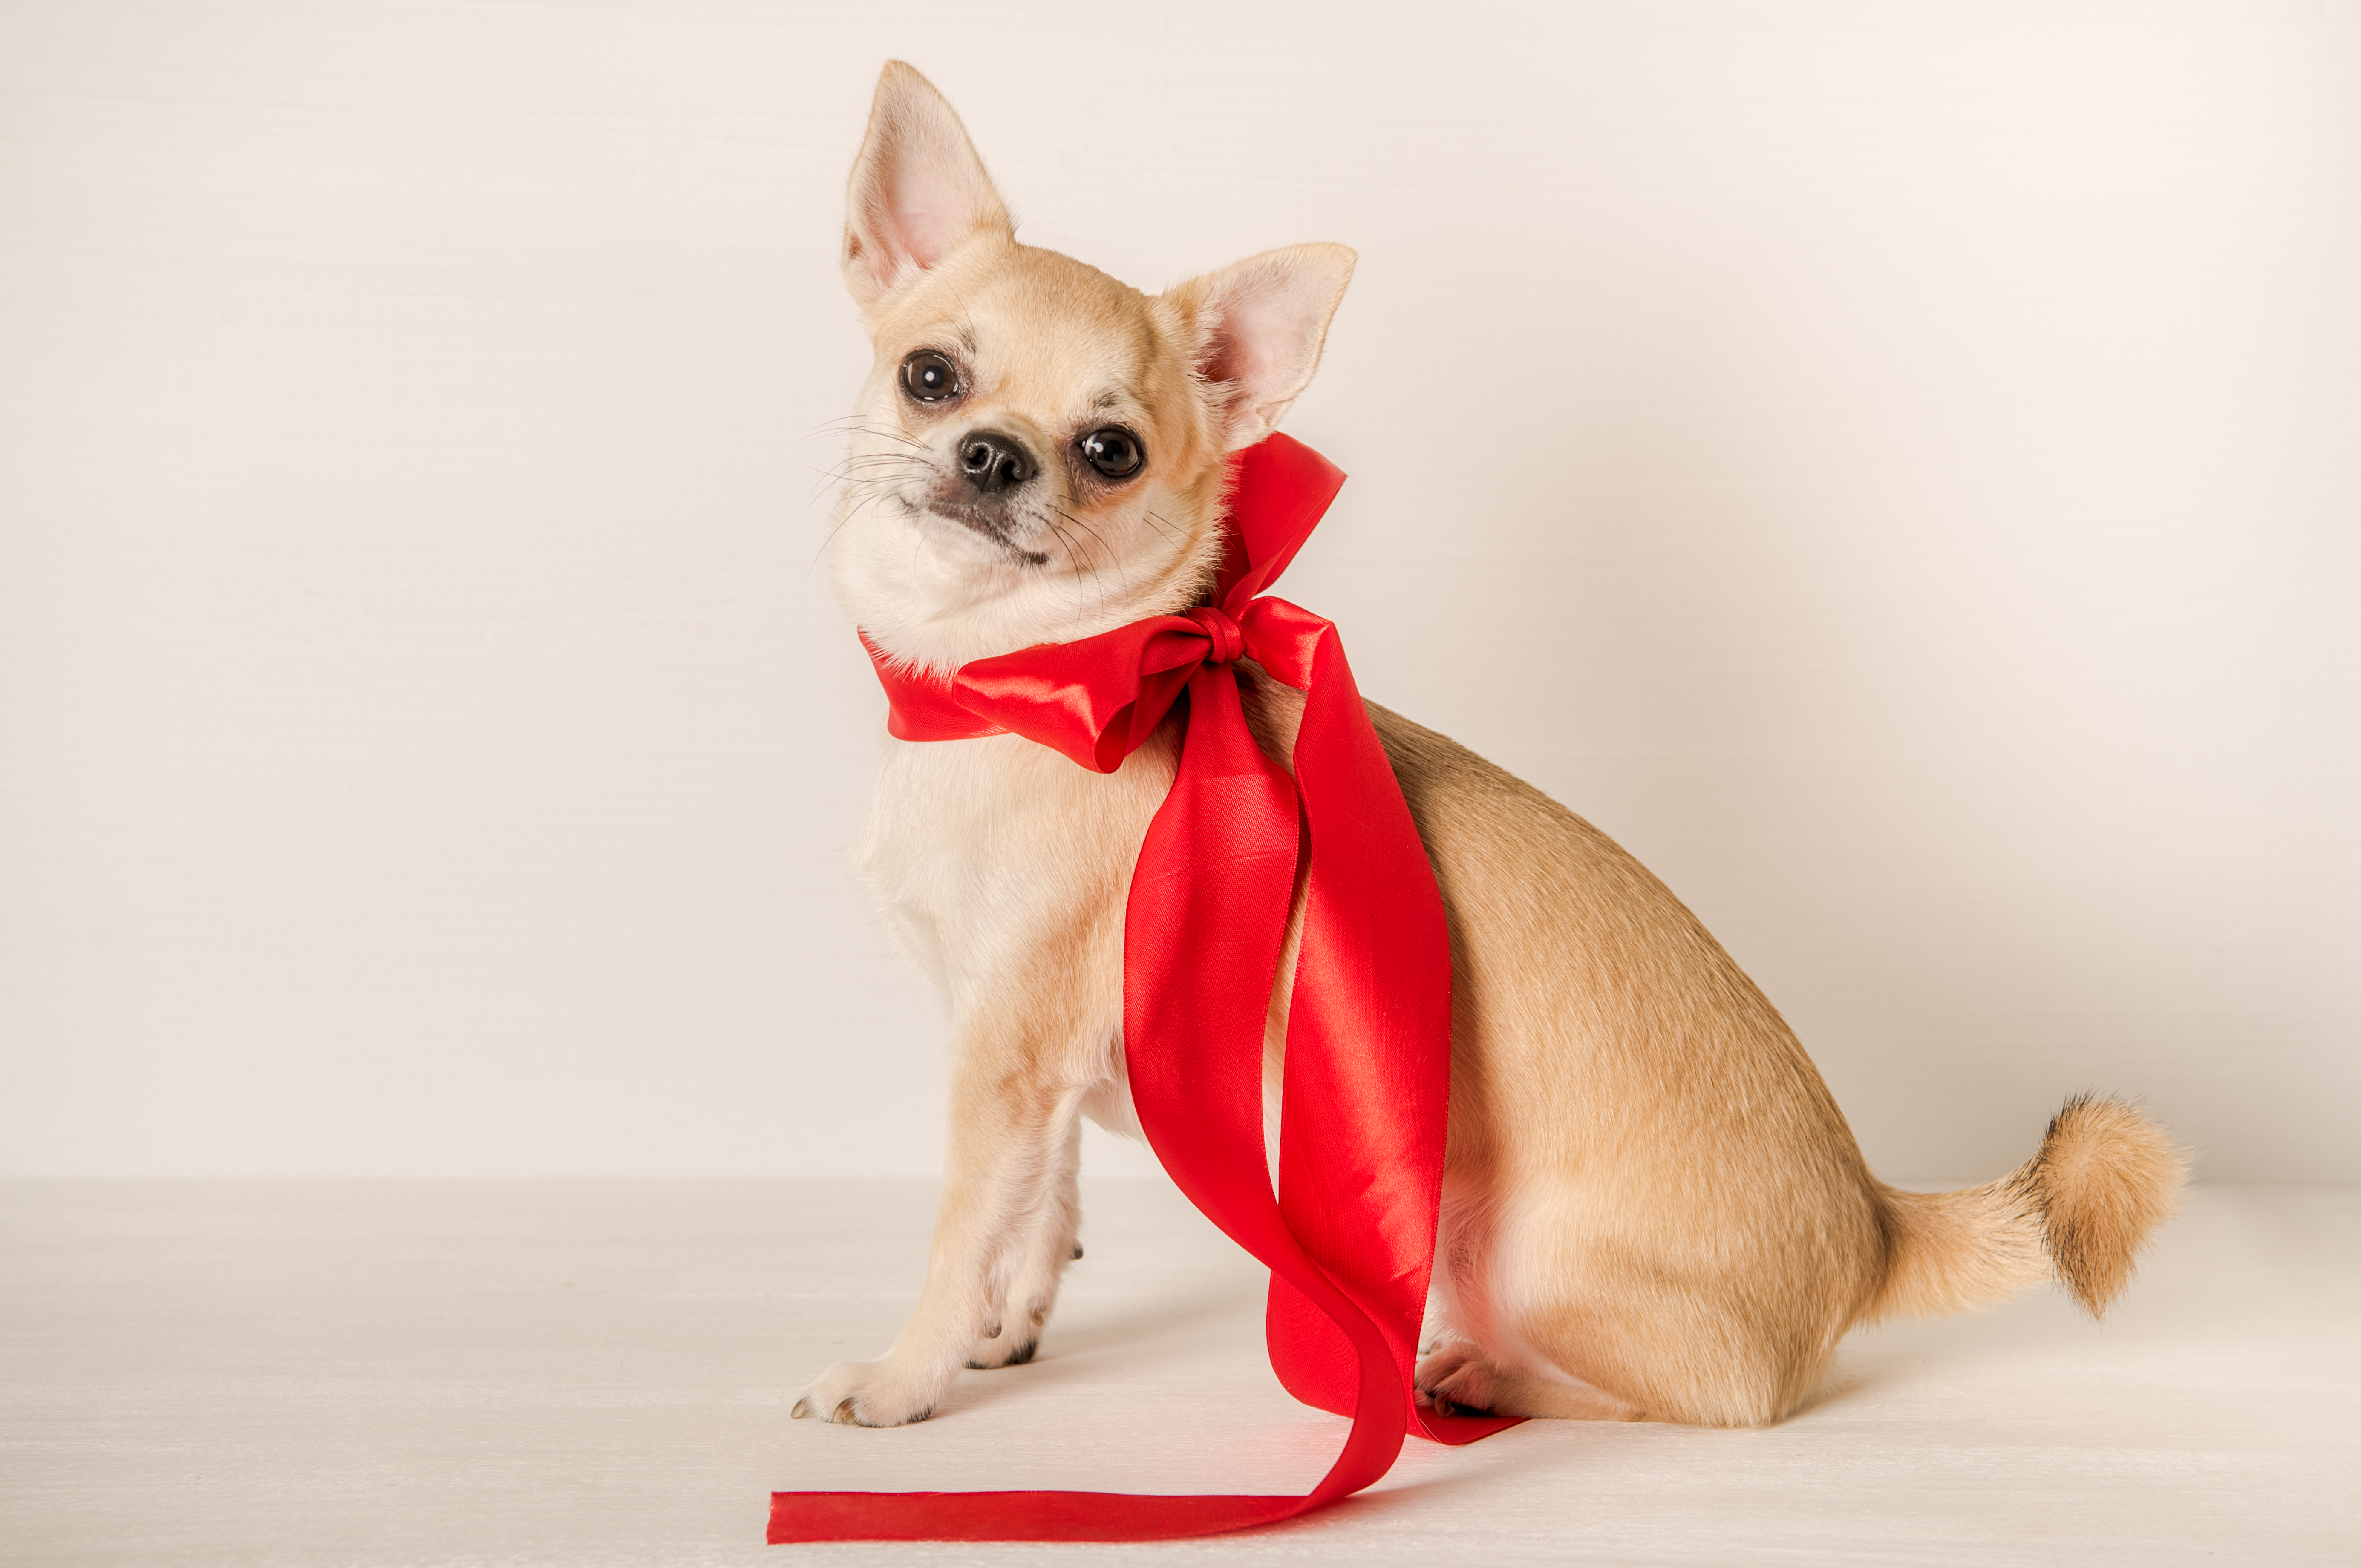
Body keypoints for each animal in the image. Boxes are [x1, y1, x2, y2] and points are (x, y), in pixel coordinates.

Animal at [802, 61, 2181, 1436]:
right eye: (931, 375)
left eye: (1110, 451)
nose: (992, 452)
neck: (1030, 683)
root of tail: (1877, 1225)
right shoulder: (1035, 1076)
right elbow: (1044, 1212)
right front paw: (1005, 1334)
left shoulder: (1005, 1061)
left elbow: (962, 1233)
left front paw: (901, 1377)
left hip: (1511, 1254)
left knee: (1705, 1394)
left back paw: (1476, 1371)